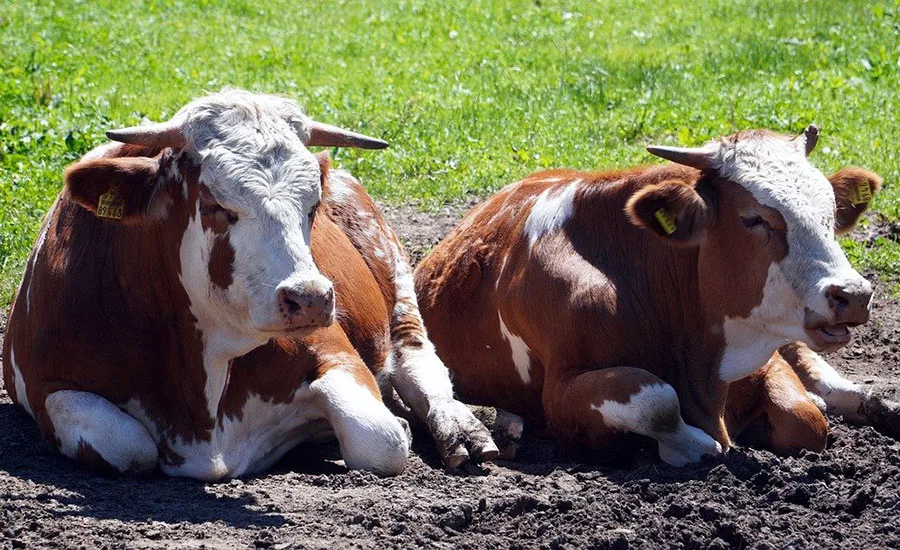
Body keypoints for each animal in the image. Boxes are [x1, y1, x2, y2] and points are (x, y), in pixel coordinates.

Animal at [1, 90, 497, 480]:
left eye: (312, 206)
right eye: (216, 204)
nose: (310, 299)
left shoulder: (336, 352)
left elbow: (382, 439)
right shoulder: (47, 387)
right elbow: (130, 446)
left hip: (395, 274)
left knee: (417, 360)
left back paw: (461, 428)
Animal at [414, 126, 890, 465]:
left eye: (830, 214)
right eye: (753, 218)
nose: (853, 294)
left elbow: (804, 420)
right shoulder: (561, 393)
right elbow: (658, 400)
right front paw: (692, 446)